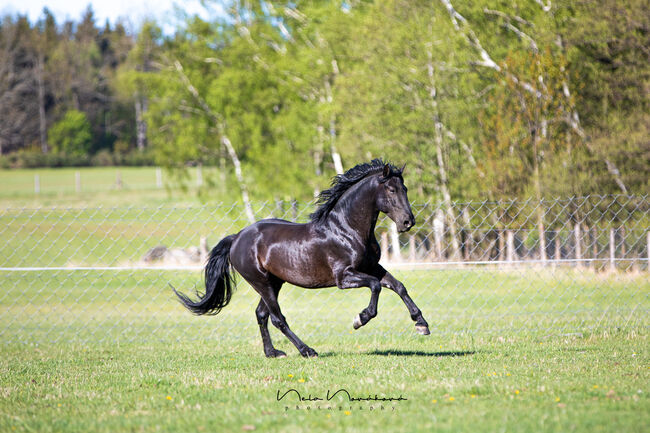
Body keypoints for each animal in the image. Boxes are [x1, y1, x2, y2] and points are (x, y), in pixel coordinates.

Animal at [172, 160, 428, 356]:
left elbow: (398, 286)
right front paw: (360, 319)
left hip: (274, 282)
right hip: (261, 282)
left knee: (262, 315)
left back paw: (273, 353)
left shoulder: (372, 266)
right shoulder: (344, 277)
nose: (408, 222)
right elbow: (376, 286)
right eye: (391, 190)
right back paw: (307, 350)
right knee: (277, 318)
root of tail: (237, 238)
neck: (346, 229)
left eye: (405, 188)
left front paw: (421, 324)